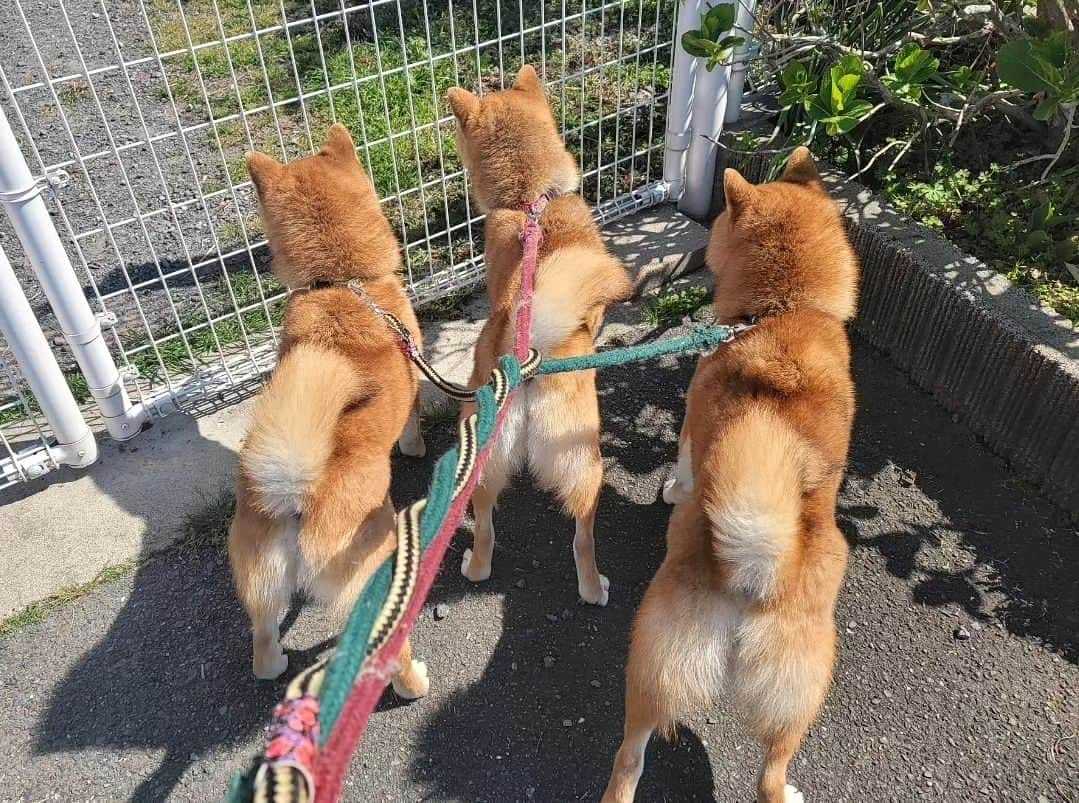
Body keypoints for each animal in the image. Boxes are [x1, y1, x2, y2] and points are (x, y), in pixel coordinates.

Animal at [599, 147, 858, 798]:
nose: (712, 219)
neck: (784, 310)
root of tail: (755, 573)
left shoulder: (692, 420)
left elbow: (683, 465)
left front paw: (671, 490)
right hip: (797, 692)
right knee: (765, 773)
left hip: (651, 659)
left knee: (629, 757)